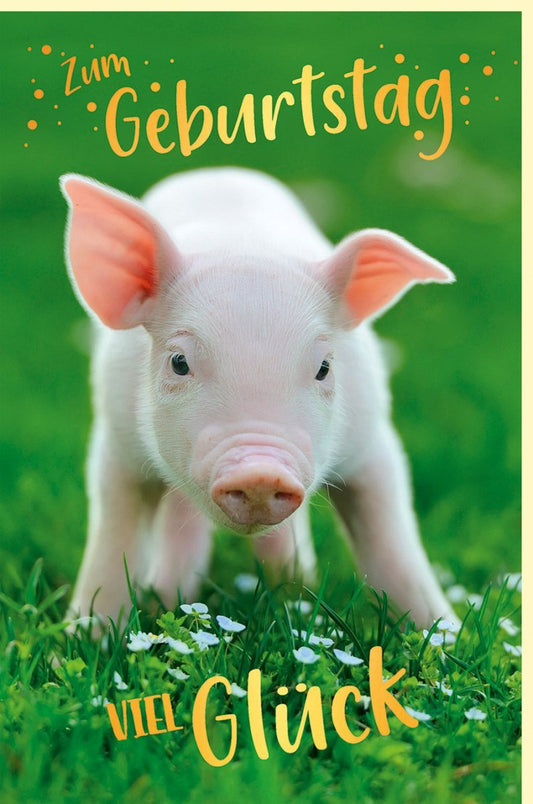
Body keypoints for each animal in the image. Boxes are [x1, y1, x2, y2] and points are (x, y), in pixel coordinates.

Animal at [61, 166, 456, 628]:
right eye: (179, 362)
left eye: (324, 367)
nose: (260, 474)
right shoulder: (117, 444)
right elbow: (113, 538)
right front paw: (86, 632)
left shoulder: (372, 439)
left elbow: (392, 540)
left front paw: (446, 632)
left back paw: (291, 585)